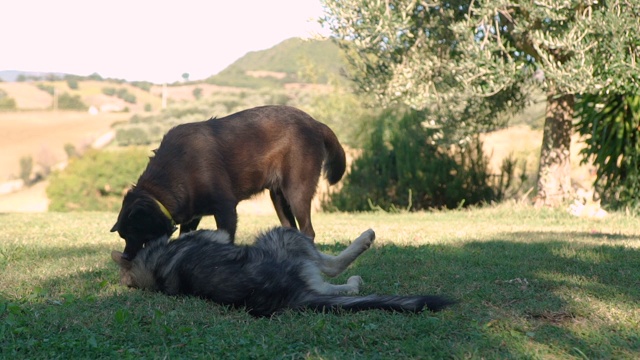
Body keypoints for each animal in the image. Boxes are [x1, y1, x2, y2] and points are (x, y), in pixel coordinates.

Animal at [110, 228, 452, 318]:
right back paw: (364, 242)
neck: (152, 267)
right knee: (333, 267)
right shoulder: (216, 234)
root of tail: (291, 296)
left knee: (336, 288)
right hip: (285, 236)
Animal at [112, 105, 348, 260]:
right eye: (123, 236)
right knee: (291, 228)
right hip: (278, 197)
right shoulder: (192, 217)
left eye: (133, 233)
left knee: (308, 231)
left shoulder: (225, 210)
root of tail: (315, 123)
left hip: (296, 191)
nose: (124, 258)